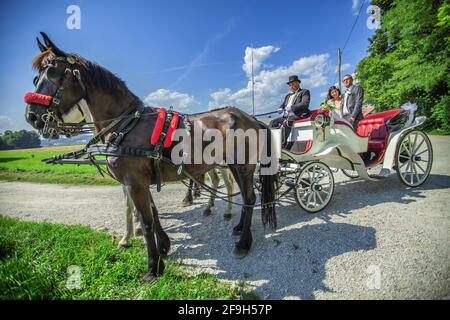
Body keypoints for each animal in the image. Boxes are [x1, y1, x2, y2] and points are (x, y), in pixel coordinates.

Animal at [25, 32, 278, 282]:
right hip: (234, 165)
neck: (126, 124)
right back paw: (239, 227)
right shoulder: (140, 181)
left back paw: (243, 243)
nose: (32, 116)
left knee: (248, 198)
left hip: (244, 165)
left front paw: (152, 267)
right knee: (243, 196)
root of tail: (251, 118)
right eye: (36, 78)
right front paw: (163, 246)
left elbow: (145, 222)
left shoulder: (134, 182)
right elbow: (153, 214)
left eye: (54, 72)